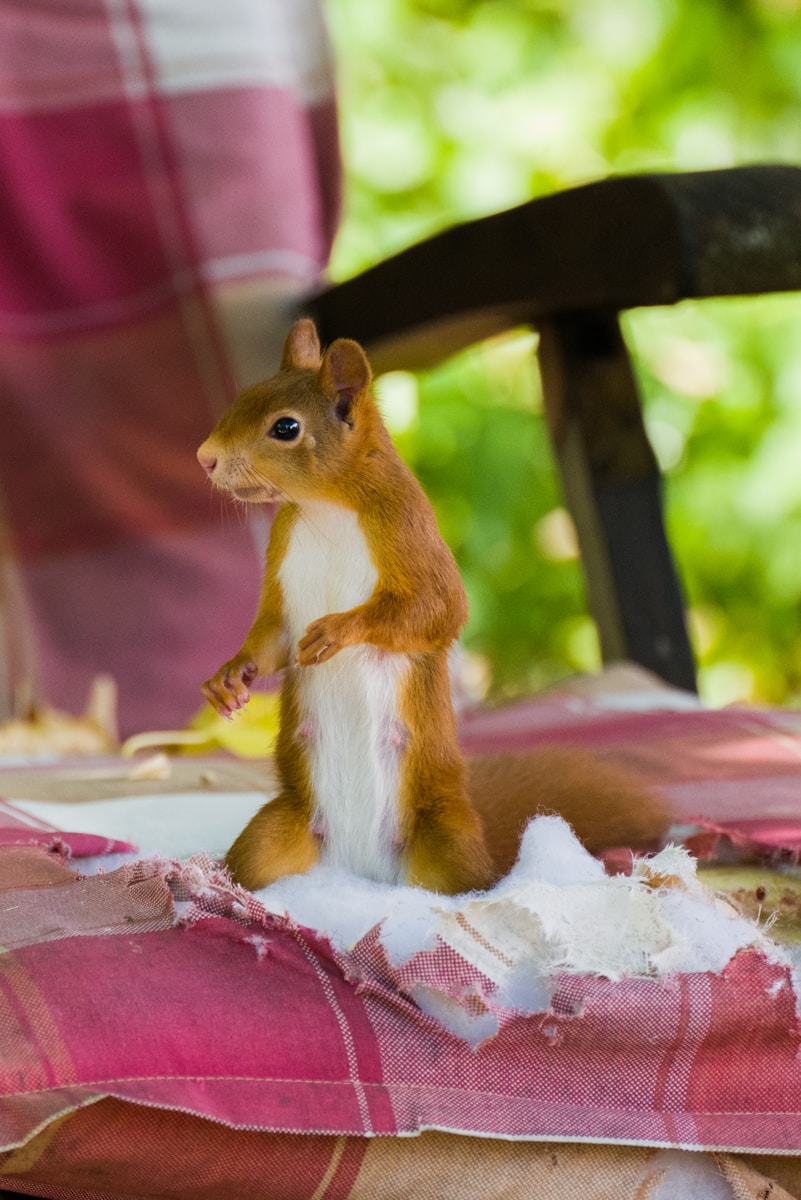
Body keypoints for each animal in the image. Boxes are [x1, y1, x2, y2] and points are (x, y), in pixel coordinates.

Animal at [198, 318, 671, 894]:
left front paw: (338, 629)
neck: (324, 507)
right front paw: (230, 676)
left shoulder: (410, 533)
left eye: (285, 428)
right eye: (242, 397)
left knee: (480, 881)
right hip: (277, 836)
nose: (205, 456)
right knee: (250, 865)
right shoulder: (281, 570)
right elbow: (272, 637)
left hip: (448, 841)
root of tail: (366, 873)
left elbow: (437, 610)